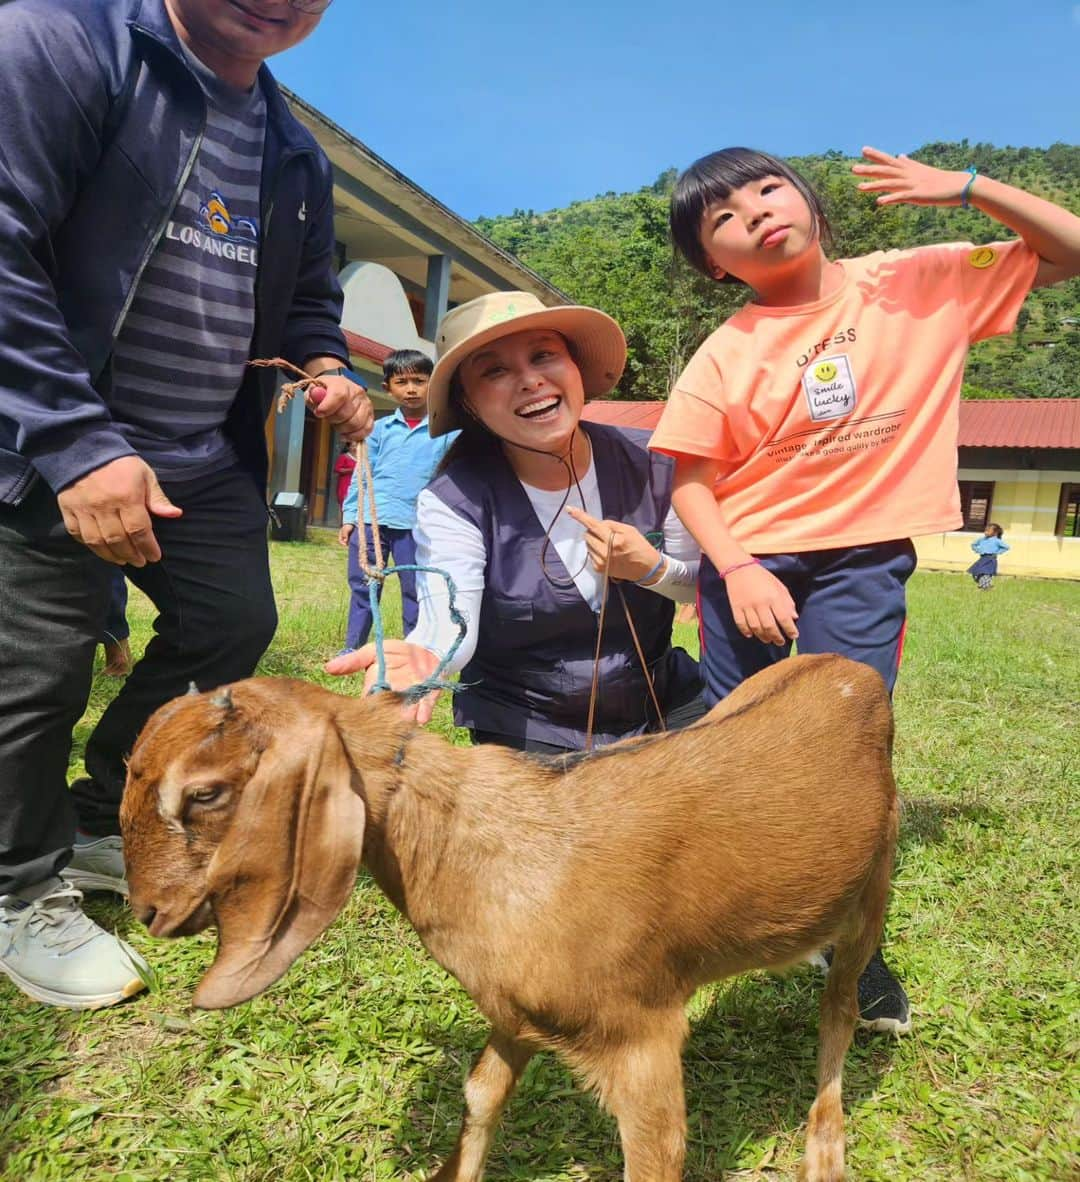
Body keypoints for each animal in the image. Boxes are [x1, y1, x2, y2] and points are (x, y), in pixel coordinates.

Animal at [119, 657, 893, 1182]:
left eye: (204, 792)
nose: (149, 911)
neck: (491, 855)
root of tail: (851, 670)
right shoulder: (516, 1011)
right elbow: (481, 1091)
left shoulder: (638, 1036)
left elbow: (657, 1151)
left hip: (873, 890)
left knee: (841, 1009)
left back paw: (825, 1148)